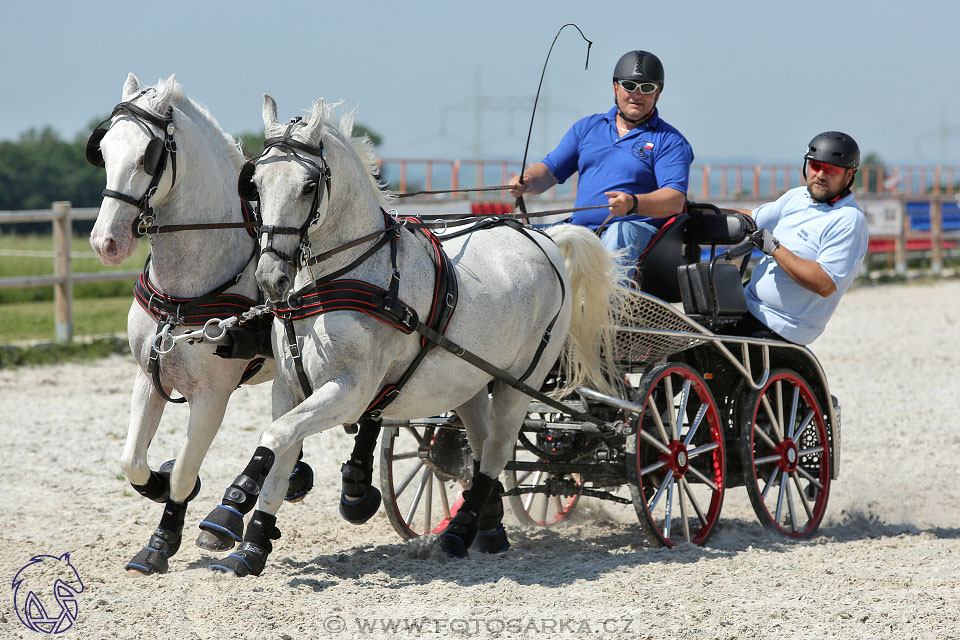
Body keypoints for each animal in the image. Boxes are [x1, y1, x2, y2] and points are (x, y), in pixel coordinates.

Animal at [89, 75, 316, 576]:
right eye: (105, 150)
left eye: (148, 155)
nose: (105, 243)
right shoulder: (148, 376)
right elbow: (132, 461)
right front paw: (158, 482)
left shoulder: (213, 394)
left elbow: (187, 470)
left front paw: (161, 541)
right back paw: (277, 485)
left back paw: (230, 510)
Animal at [205, 96, 628, 576]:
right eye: (255, 183)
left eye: (309, 185)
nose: (271, 278)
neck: (342, 276)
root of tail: (546, 237)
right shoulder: (288, 385)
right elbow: (280, 452)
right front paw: (252, 544)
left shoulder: (350, 391)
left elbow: (276, 438)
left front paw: (235, 517)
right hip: (467, 380)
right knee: (478, 447)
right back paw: (487, 528)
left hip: (520, 383)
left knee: (497, 451)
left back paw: (459, 532)